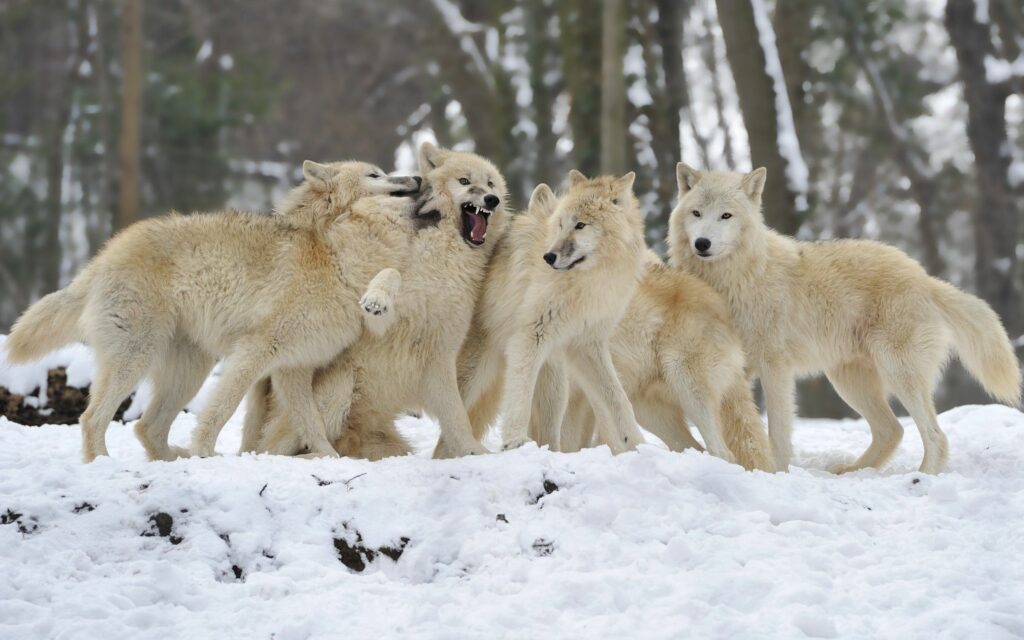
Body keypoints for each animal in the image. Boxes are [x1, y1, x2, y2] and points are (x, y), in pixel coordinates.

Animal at [5, 161, 420, 462]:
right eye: (375, 175)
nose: (416, 178)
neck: (334, 258)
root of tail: (102, 257)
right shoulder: (255, 352)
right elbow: (222, 410)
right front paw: (205, 451)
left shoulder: (294, 368)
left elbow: (312, 423)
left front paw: (330, 459)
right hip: (137, 359)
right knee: (92, 419)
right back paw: (107, 465)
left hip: (190, 370)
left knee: (146, 427)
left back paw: (173, 461)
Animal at [243, 143, 511, 459]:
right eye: (465, 181)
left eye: (491, 183)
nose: (491, 199)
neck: (444, 255)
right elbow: (391, 274)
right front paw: (376, 298)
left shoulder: (441, 352)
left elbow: (457, 417)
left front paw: (472, 452)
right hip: (339, 386)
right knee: (278, 449)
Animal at [447, 171, 648, 455]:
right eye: (562, 224)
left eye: (580, 225)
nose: (548, 257)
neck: (589, 281)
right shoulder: (532, 335)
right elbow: (519, 394)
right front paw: (514, 442)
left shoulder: (587, 344)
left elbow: (618, 398)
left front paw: (639, 444)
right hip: (472, 377)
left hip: (555, 383)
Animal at [669, 164, 1022, 474]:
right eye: (696, 213)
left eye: (726, 216)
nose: (702, 243)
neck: (736, 278)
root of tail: (925, 278)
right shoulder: (734, 369)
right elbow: (737, 428)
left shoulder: (775, 367)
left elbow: (778, 433)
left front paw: (777, 473)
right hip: (849, 381)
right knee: (892, 430)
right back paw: (853, 471)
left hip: (897, 373)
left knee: (935, 436)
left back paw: (922, 478)